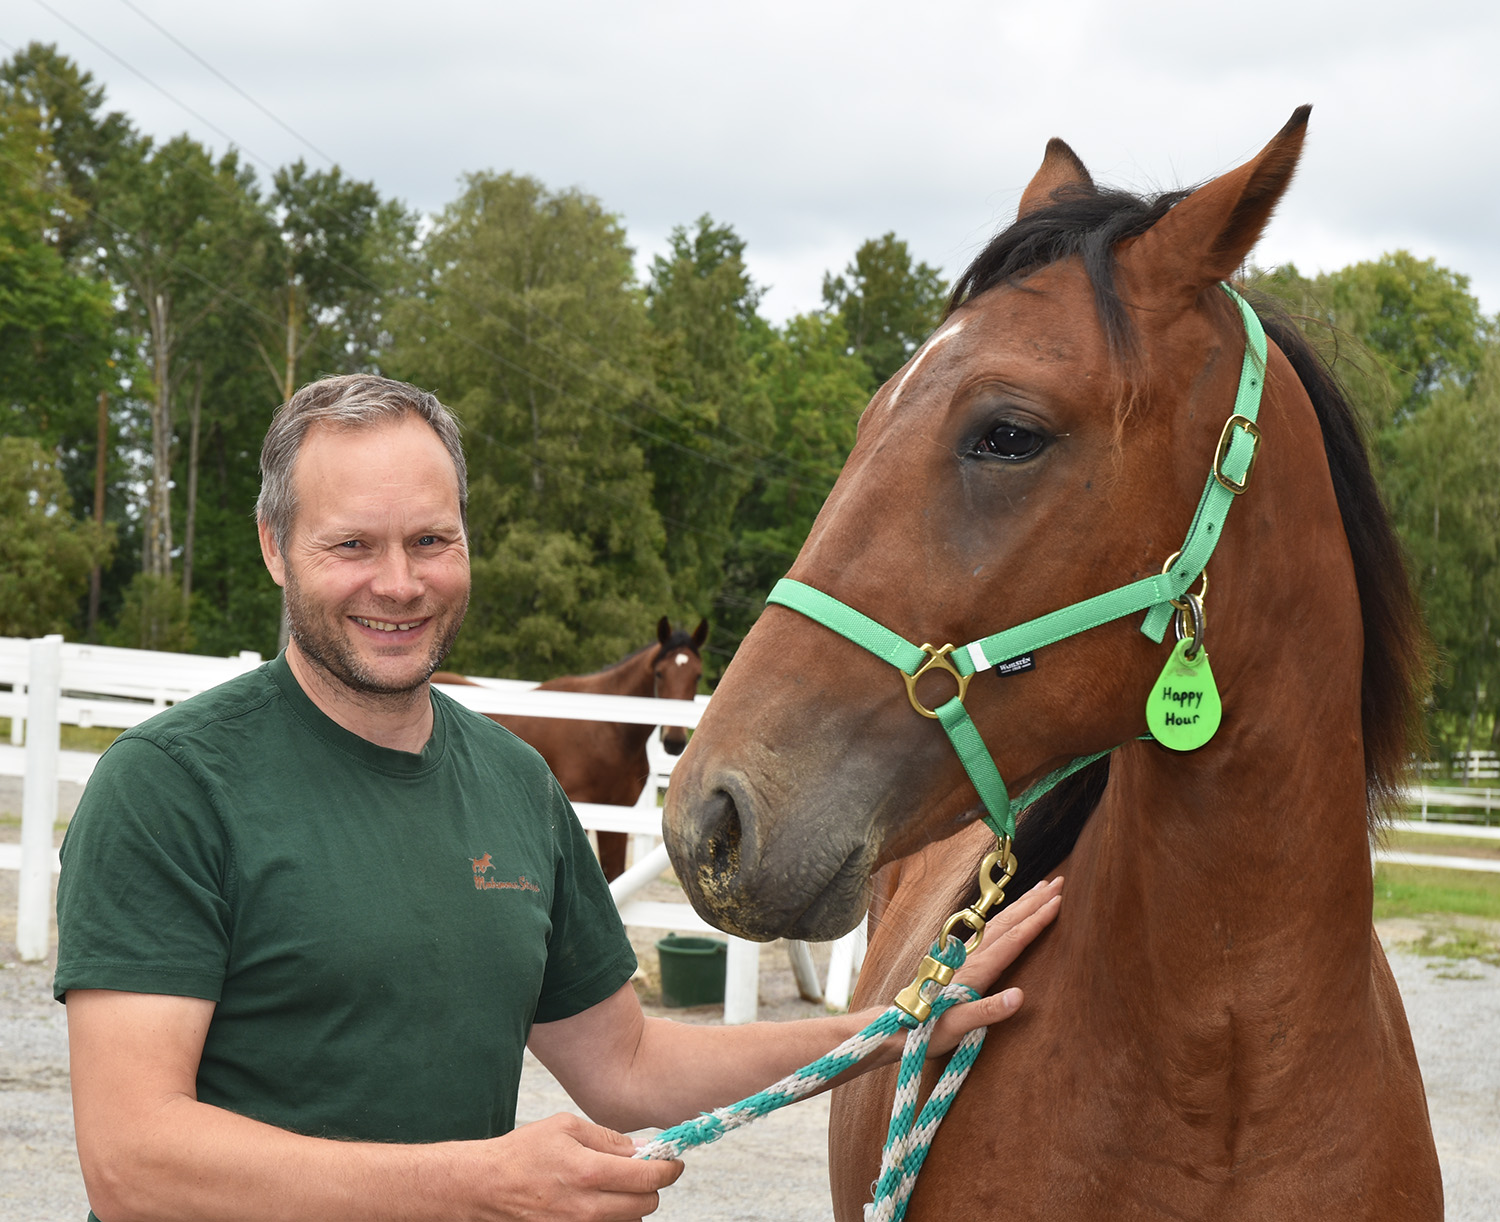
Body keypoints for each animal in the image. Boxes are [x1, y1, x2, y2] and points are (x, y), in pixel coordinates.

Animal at [438, 620, 708, 881]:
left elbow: (614, 873)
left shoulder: (618, 812)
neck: (609, 728)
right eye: (660, 673)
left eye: (697, 676)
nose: (675, 741)